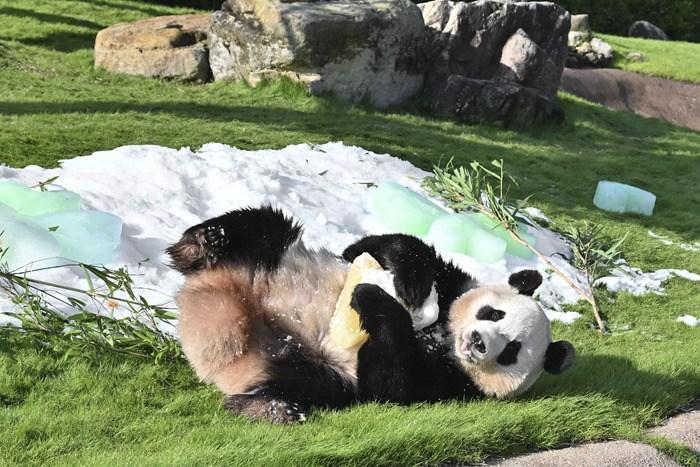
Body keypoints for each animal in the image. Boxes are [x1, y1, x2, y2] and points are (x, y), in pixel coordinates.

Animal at [168, 205, 576, 424]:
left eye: (511, 352)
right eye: (493, 313)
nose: (477, 342)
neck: (442, 335)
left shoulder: (452, 384)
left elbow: (389, 383)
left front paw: (370, 296)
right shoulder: (454, 282)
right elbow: (378, 246)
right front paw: (409, 285)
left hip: (305, 361)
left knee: (314, 385)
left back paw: (269, 407)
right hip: (267, 258)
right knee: (264, 227)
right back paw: (203, 243)